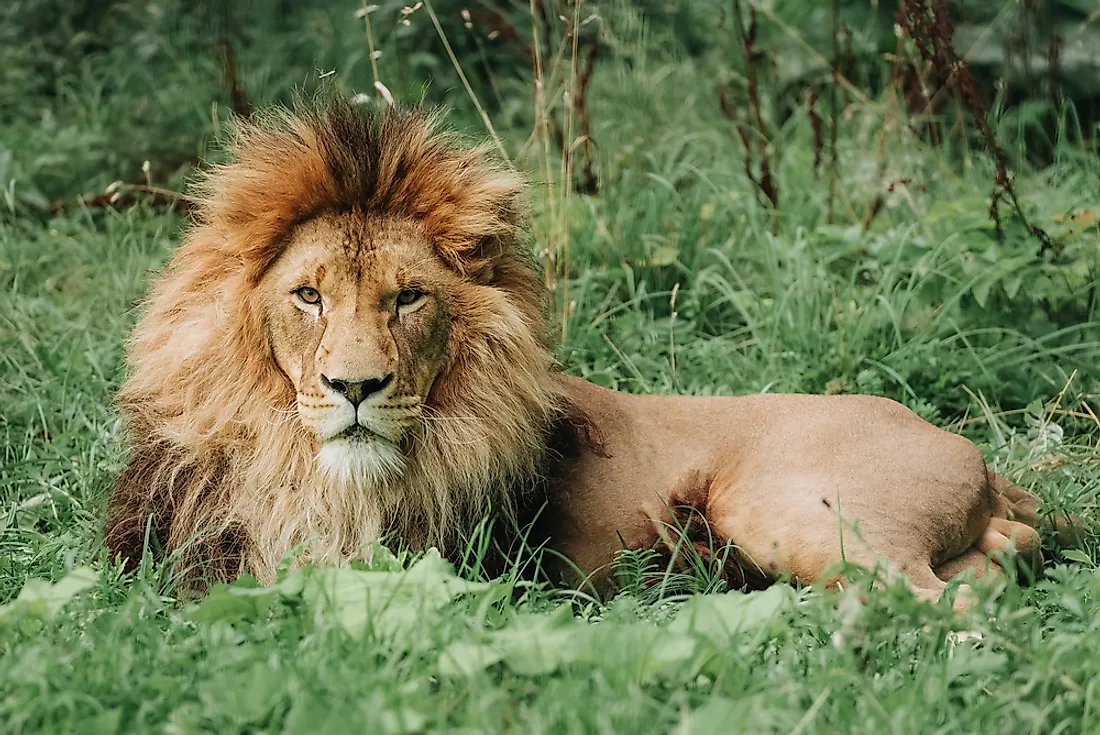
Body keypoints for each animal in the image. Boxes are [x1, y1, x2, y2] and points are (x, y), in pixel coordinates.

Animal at [109, 97, 1073, 602]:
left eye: (408, 297)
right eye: (307, 296)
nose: (355, 386)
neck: (312, 472)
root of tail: (977, 456)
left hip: (791, 508)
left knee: (933, 602)